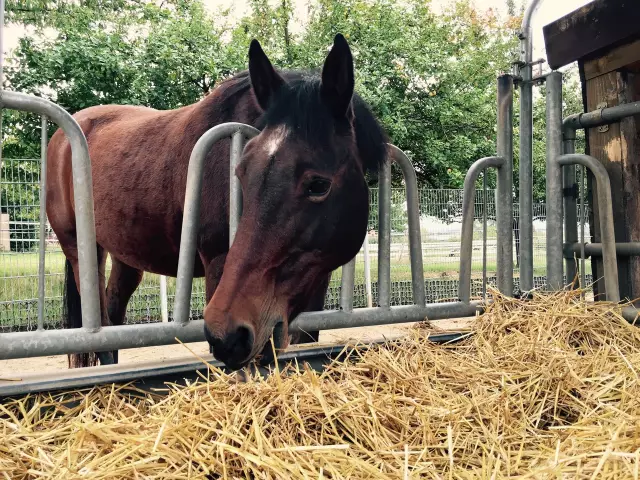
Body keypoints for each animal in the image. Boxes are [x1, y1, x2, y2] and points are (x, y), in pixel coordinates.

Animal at [47, 34, 388, 372]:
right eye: (241, 172)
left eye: (319, 185)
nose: (231, 334)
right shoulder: (217, 264)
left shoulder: (316, 278)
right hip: (80, 250)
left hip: (126, 255)